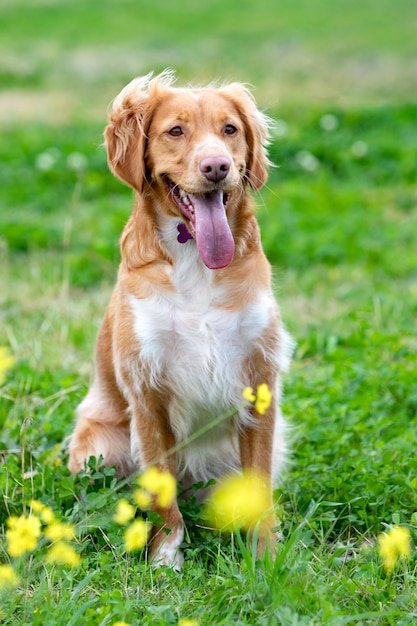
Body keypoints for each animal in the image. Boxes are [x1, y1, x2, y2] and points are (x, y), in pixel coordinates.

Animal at [67, 70, 292, 568]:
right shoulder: (147, 390)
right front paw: (166, 557)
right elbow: (161, 491)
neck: (195, 263)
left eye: (230, 129)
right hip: (100, 445)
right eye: (175, 131)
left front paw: (265, 557)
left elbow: (259, 486)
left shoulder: (258, 382)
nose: (217, 167)